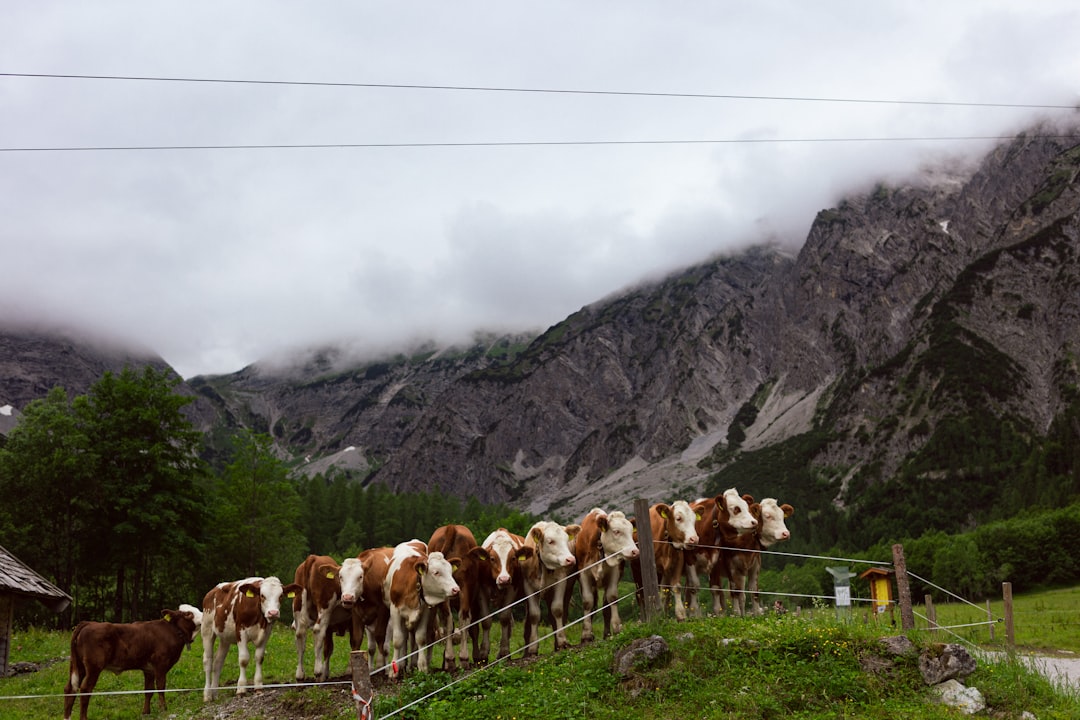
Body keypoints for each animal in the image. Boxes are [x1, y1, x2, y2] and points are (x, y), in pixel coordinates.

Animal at [62, 608, 200, 720]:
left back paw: (67, 717)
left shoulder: (148, 669)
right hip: (94, 666)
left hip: (78, 665)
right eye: (188, 614)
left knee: (70, 688)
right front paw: (163, 710)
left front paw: (146, 712)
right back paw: (83, 717)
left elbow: (148, 690)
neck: (173, 631)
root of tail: (88, 623)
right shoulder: (161, 664)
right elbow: (161, 687)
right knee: (85, 689)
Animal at [384, 539, 460, 682]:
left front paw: (423, 667)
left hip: (443, 605)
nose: (456, 589)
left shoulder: (426, 611)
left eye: (450, 571)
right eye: (436, 572)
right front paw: (394, 670)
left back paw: (448, 660)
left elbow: (421, 638)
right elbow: (398, 639)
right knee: (410, 637)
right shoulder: (395, 610)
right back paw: (407, 665)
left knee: (445, 628)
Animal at [518, 520, 578, 656]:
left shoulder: (561, 582)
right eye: (550, 541)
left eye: (566, 539)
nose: (570, 559)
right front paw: (532, 648)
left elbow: (557, 610)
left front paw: (562, 642)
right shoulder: (528, 586)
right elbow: (534, 615)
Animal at [570, 507, 635, 643]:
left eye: (632, 532)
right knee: (594, 606)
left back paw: (607, 634)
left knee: (605, 607)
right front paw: (586, 634)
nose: (635, 551)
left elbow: (612, 598)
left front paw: (617, 628)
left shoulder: (615, 573)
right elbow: (588, 603)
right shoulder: (583, 574)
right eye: (616, 531)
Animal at [686, 487, 756, 617]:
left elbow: (716, 588)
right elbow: (694, 587)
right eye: (736, 509)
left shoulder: (716, 562)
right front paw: (694, 615)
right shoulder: (689, 560)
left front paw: (719, 615)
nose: (754, 522)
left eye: (747, 507)